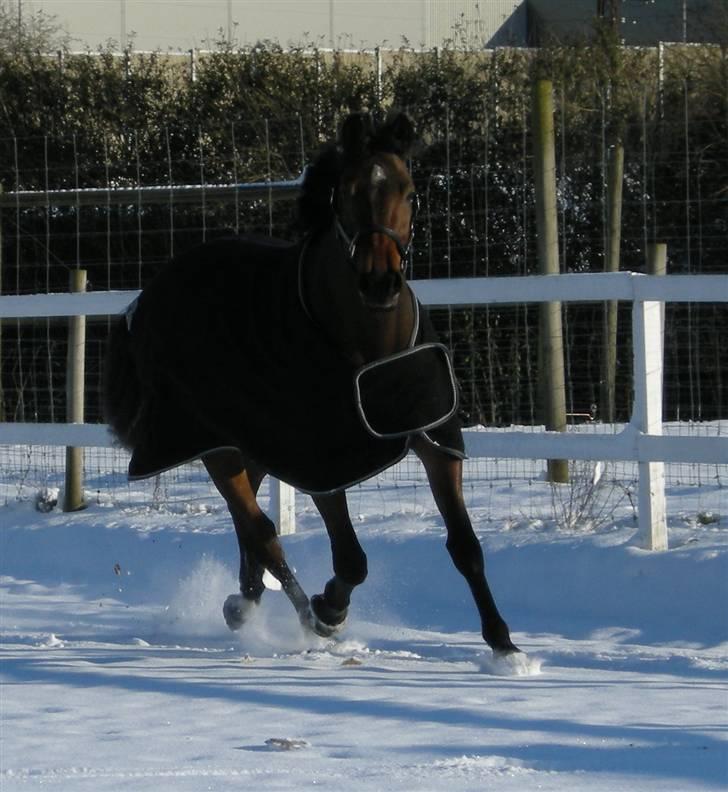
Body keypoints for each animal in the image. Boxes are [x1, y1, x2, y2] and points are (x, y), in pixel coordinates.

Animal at [105, 111, 520, 656]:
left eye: (409, 191)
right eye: (346, 191)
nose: (379, 282)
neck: (370, 341)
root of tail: (149, 294)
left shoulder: (433, 437)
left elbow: (465, 546)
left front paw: (505, 647)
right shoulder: (322, 455)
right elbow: (351, 560)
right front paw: (329, 610)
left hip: (251, 444)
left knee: (250, 527)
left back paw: (245, 600)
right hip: (212, 441)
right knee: (261, 530)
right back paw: (294, 611)